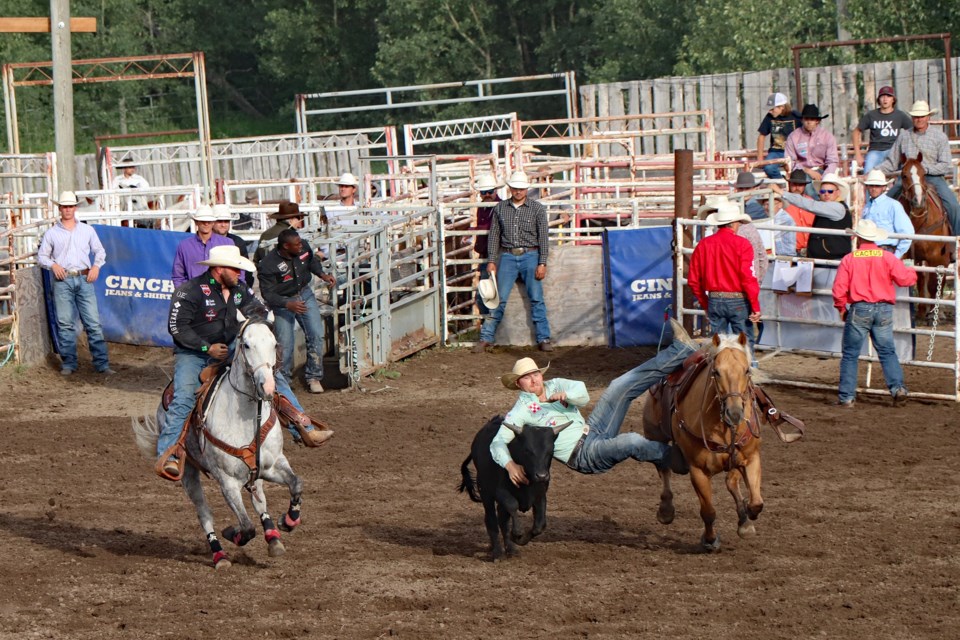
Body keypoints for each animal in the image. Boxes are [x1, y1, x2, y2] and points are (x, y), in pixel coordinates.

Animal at [132, 318, 304, 568]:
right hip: (188, 472)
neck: (247, 417)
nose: (268, 387)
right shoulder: (227, 481)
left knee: (260, 501)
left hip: (255, 474)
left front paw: (287, 521)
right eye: (246, 345)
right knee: (204, 513)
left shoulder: (272, 466)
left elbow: (296, 484)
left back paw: (273, 538)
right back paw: (219, 554)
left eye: (274, 344)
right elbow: (246, 527)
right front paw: (232, 533)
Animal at [640, 336, 768, 552]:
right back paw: (666, 510)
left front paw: (747, 519)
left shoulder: (751, 458)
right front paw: (710, 540)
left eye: (747, 370)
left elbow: (756, 503)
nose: (735, 413)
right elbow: (708, 511)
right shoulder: (698, 470)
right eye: (716, 372)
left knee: (731, 481)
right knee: (663, 470)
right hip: (655, 437)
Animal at [900, 151, 952, 320]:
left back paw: (937, 311)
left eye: (923, 174)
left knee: (939, 281)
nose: (918, 201)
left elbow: (934, 284)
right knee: (922, 278)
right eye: (904, 175)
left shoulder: (935, 257)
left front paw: (932, 314)